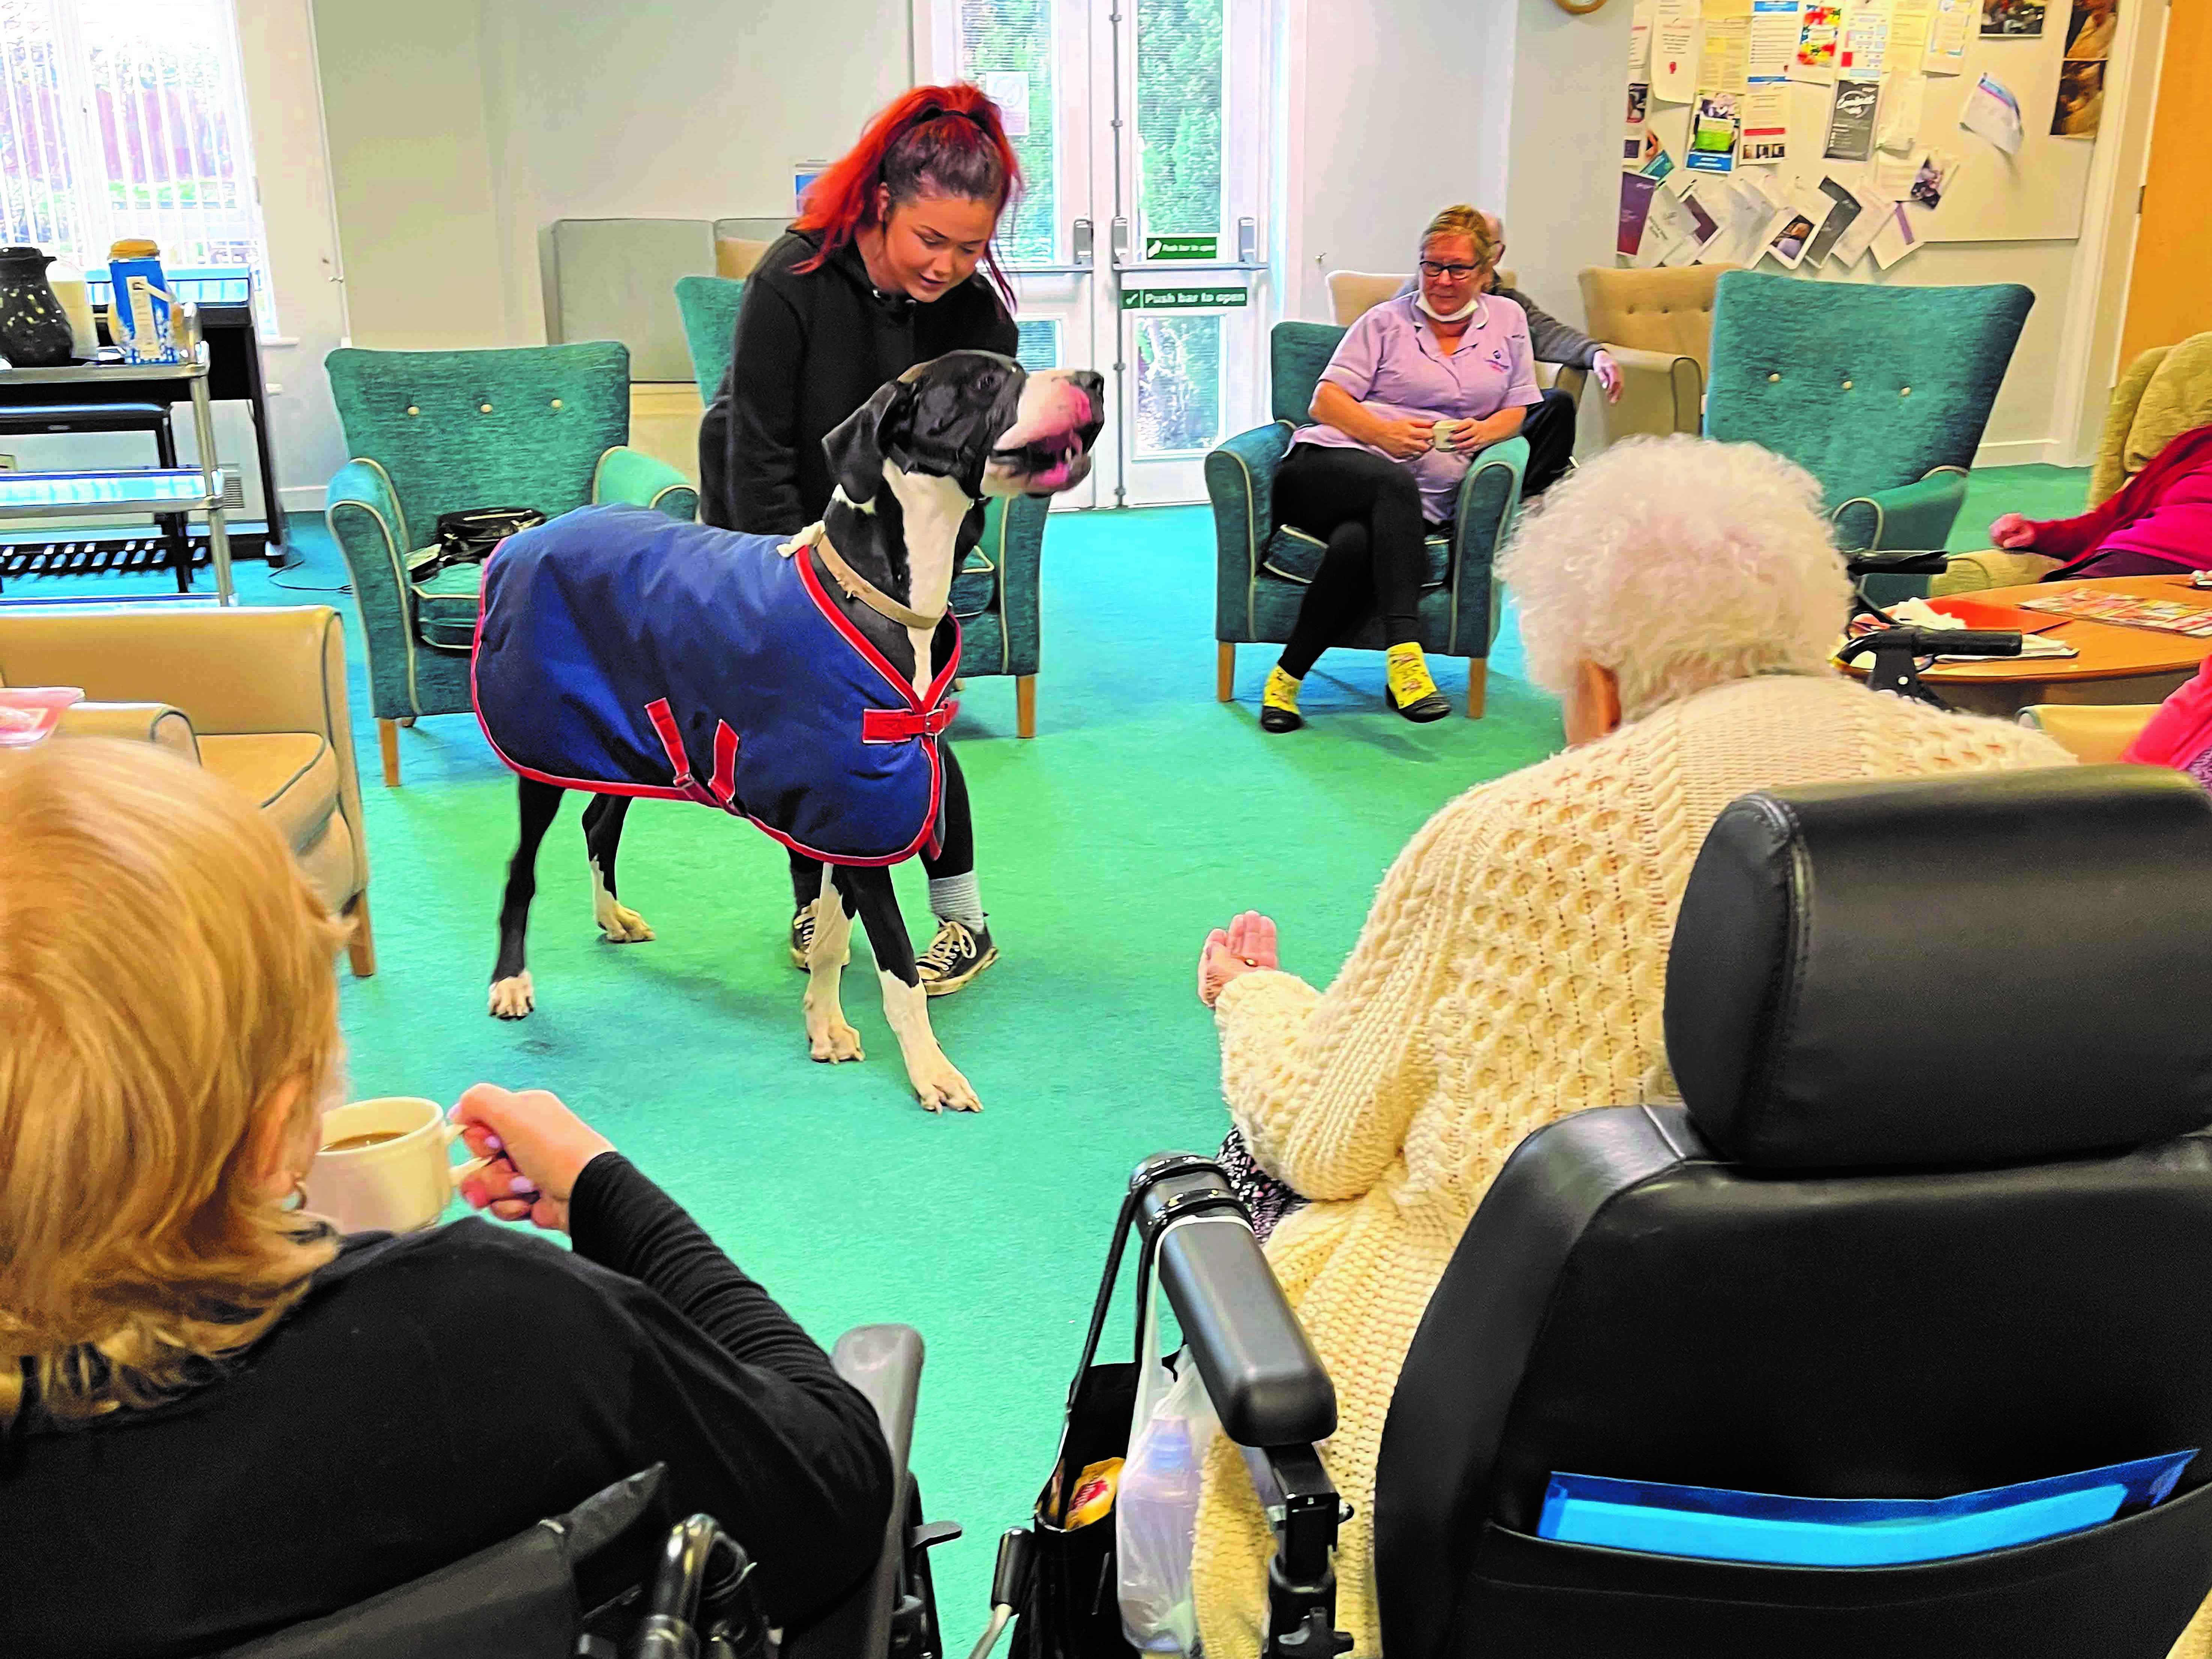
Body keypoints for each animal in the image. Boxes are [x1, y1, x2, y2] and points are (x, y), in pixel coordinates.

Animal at [480, 358, 1106, 1119]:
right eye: (986, 383)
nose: (1095, 380)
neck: (882, 592)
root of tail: (526, 536)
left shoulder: (846, 816)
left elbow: (835, 941)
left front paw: (825, 1023)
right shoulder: (858, 813)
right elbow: (898, 969)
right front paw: (930, 1070)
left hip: (626, 740)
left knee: (599, 823)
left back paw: (613, 917)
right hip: (542, 748)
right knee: (522, 869)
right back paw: (510, 982)